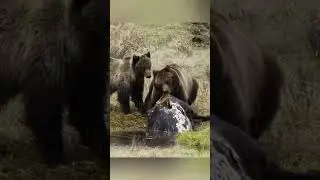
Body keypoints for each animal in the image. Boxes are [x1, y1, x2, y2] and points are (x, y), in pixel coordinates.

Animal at [0, 0, 108, 167]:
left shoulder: (86, 67)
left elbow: (87, 107)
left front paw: (102, 148)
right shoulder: (46, 54)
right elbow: (44, 108)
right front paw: (55, 155)